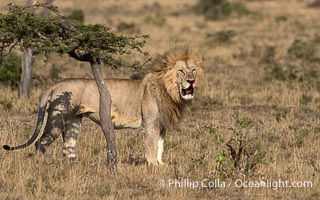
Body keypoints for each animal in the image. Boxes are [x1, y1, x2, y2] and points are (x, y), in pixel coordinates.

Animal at [3, 47, 202, 166]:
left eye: (193, 70)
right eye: (181, 71)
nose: (191, 81)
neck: (169, 91)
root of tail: (56, 84)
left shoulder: (161, 124)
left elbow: (160, 145)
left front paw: (161, 164)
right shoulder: (151, 123)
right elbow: (151, 145)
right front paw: (154, 166)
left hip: (74, 120)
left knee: (67, 147)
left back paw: (77, 165)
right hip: (58, 117)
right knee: (41, 142)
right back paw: (41, 166)